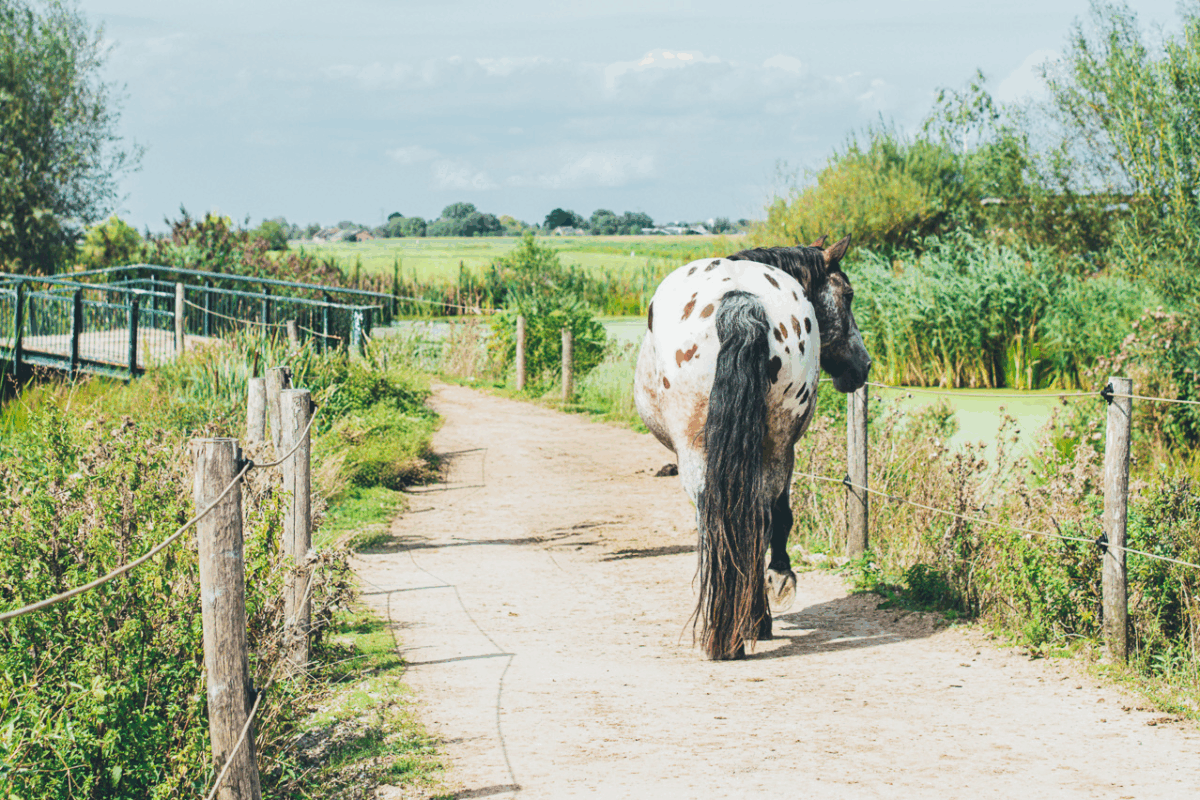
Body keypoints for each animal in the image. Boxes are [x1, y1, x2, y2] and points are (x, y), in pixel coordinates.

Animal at [633, 234, 871, 660]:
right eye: (848, 294)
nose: (863, 365)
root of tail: (739, 299)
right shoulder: (785, 450)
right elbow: (781, 516)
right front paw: (778, 581)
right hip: (772, 447)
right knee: (753, 514)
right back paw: (748, 622)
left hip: (703, 453)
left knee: (724, 517)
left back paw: (733, 626)